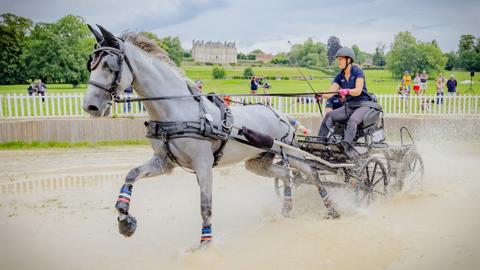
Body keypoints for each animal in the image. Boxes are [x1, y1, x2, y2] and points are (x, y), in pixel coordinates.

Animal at [82, 25, 338, 247]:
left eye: (109, 66)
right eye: (91, 65)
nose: (90, 106)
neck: (177, 109)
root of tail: (281, 114)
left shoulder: (203, 164)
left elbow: (205, 206)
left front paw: (206, 244)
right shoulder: (163, 163)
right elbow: (131, 175)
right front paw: (124, 219)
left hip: (293, 155)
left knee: (313, 173)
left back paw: (332, 209)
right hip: (258, 163)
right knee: (285, 175)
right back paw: (286, 209)